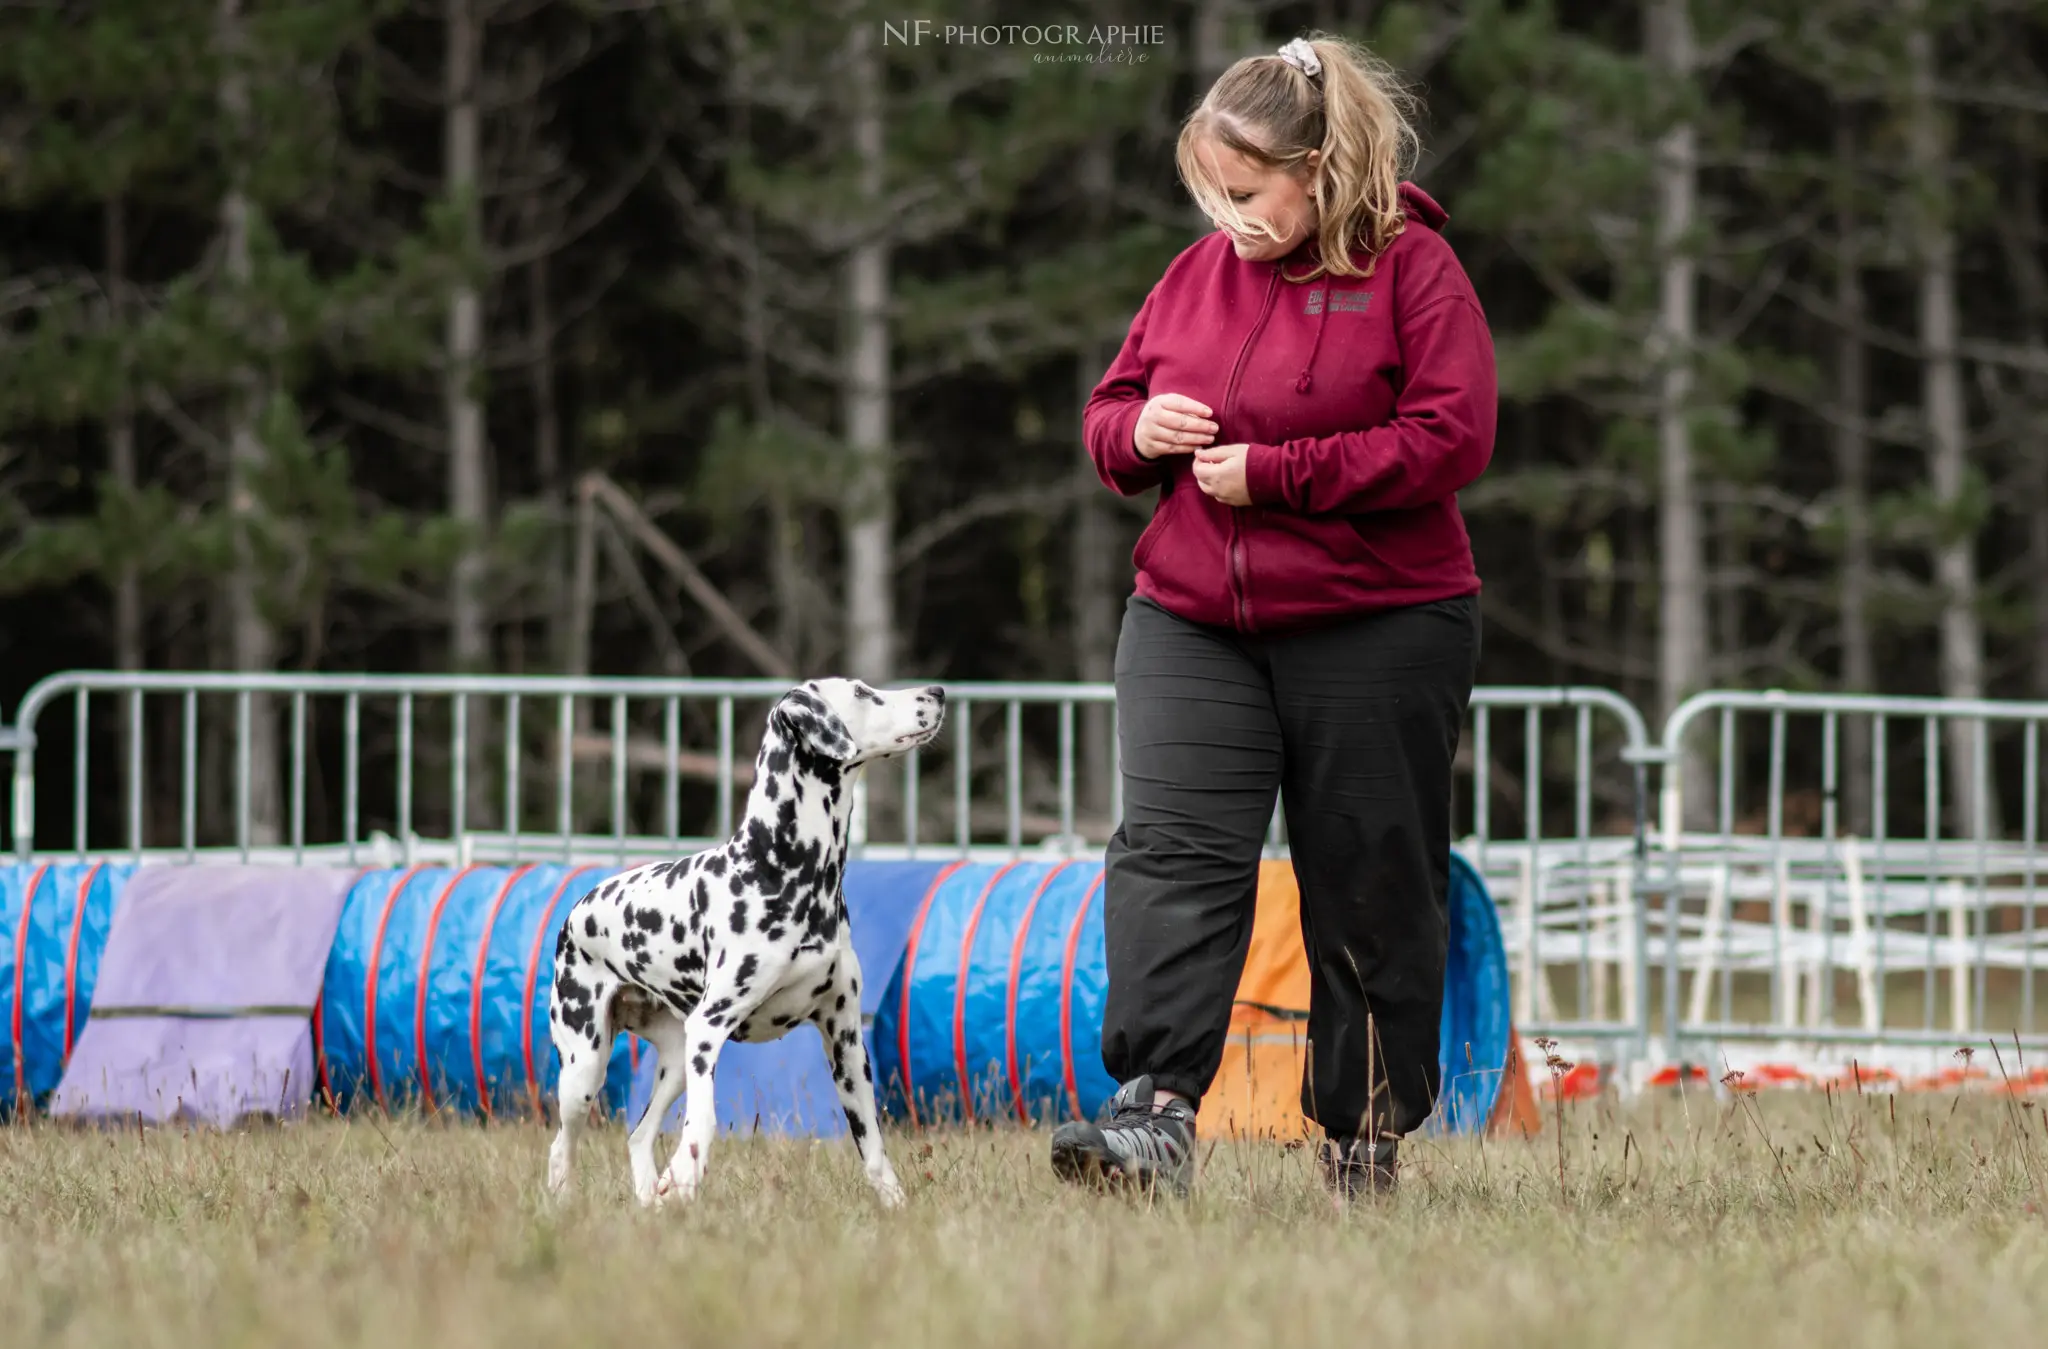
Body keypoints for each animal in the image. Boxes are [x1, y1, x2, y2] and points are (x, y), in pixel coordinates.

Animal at [540, 679, 946, 1211]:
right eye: (862, 691)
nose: (938, 691)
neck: (783, 868)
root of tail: (578, 907)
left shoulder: (847, 1043)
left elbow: (873, 1145)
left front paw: (896, 1206)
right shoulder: (709, 1029)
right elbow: (702, 1124)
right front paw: (687, 1175)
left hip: (674, 1061)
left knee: (638, 1136)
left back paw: (651, 1199)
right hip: (587, 1069)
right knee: (560, 1147)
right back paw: (564, 1202)